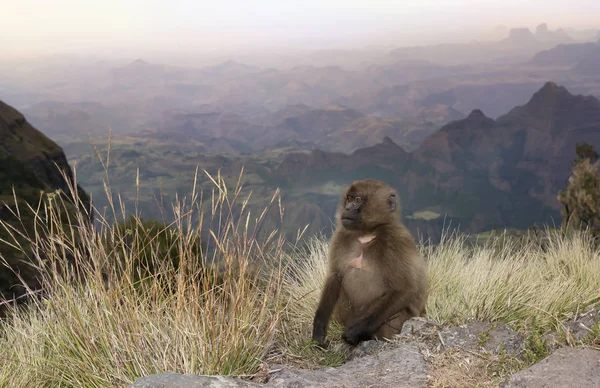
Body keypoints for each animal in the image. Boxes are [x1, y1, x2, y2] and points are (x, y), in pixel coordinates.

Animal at [312, 179, 428, 346]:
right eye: (349, 199)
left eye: (358, 200)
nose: (347, 208)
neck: (367, 233)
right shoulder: (341, 236)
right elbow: (335, 276)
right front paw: (319, 329)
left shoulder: (396, 241)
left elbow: (405, 289)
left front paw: (354, 333)